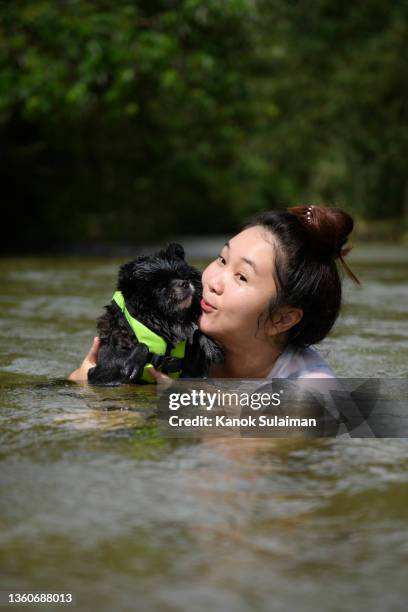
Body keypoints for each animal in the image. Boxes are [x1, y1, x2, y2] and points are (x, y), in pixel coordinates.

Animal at [87, 243, 223, 382]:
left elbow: (197, 333)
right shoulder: (103, 369)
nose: (185, 283)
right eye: (161, 287)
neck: (164, 321)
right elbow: (142, 346)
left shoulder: (191, 372)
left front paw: (211, 346)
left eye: (182, 276)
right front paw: (133, 363)